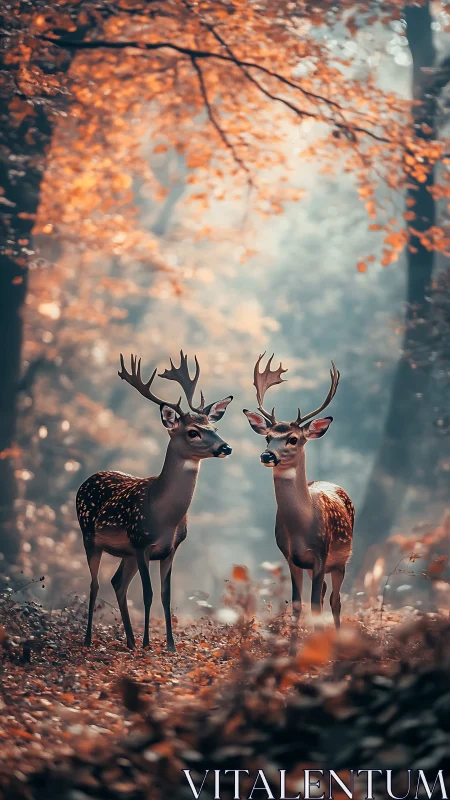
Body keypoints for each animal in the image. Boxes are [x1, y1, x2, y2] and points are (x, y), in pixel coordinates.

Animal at [76, 352, 233, 652]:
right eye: (193, 431)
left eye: (215, 426)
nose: (226, 447)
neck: (163, 516)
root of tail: (88, 479)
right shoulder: (141, 544)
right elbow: (148, 594)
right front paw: (149, 643)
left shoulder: (170, 549)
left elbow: (165, 595)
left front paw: (169, 644)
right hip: (89, 536)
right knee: (94, 584)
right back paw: (90, 639)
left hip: (124, 553)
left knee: (117, 582)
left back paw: (129, 640)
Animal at [243, 354, 354, 630]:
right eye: (267, 438)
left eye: (293, 439)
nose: (267, 455)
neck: (301, 527)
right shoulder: (290, 556)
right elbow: (296, 606)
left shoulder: (321, 555)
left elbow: (315, 606)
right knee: (325, 595)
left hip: (342, 561)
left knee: (335, 600)